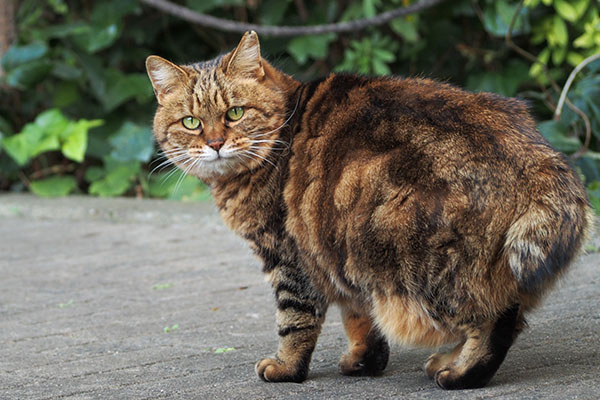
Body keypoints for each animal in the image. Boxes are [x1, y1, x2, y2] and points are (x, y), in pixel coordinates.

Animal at [145, 32, 592, 390]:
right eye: (190, 122)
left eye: (234, 113)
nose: (215, 143)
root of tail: (540, 158)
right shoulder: (338, 256)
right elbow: (359, 316)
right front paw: (365, 360)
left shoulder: (289, 259)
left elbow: (295, 321)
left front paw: (286, 367)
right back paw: (448, 359)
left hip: (427, 263)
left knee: (495, 320)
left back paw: (460, 373)